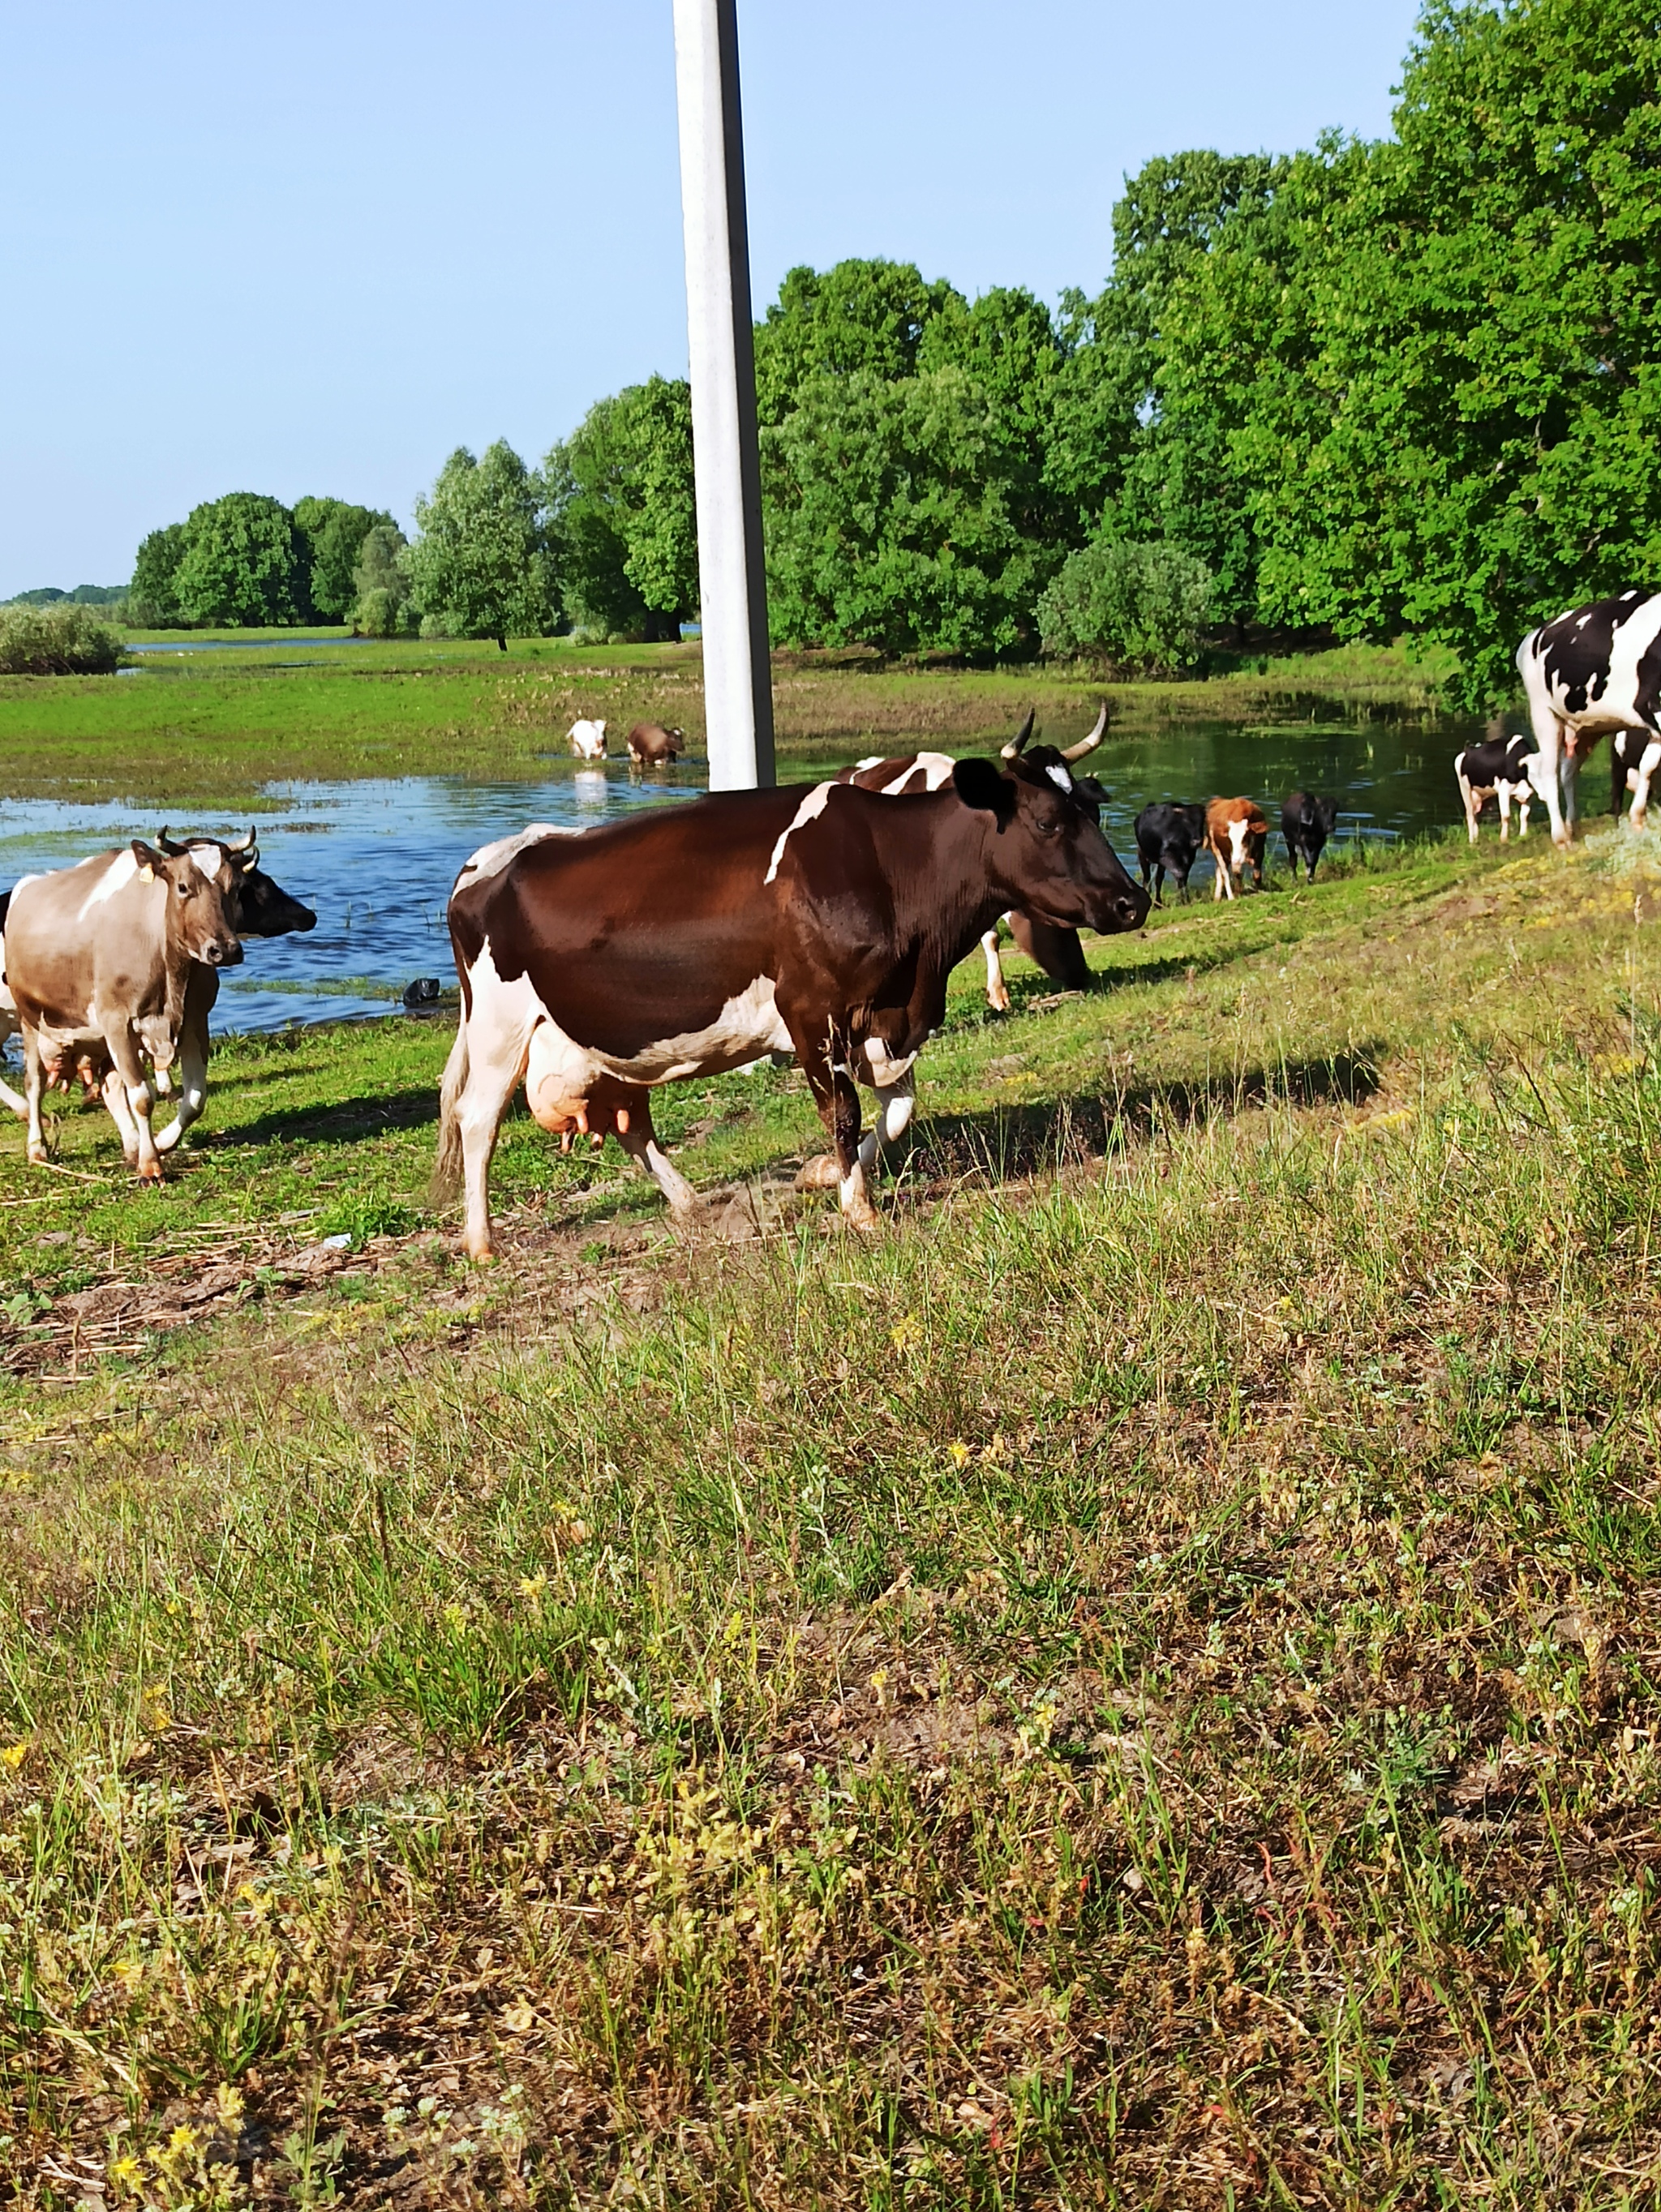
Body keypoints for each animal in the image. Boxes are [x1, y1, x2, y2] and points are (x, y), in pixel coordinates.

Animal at [436, 752, 1150, 1256]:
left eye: (1092, 811)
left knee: (630, 1123)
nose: (1133, 901)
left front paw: (820, 1176)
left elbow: (898, 1112)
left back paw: (689, 1202)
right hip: (499, 1027)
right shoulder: (811, 1011)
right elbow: (843, 1112)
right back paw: (482, 1242)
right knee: (478, 1121)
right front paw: (859, 1209)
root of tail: (486, 860)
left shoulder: (885, 1017)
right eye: (1048, 821)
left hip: (598, 1044)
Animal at [1450, 730, 1547, 840]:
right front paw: (1504, 839)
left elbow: (1524, 815)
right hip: (1465, 789)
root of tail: (1468, 749)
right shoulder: (1503, 790)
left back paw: (1476, 838)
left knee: (1476, 815)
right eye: (1534, 773)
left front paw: (1523, 835)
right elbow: (1506, 816)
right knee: (1470, 815)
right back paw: (1472, 841)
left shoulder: (1528, 794)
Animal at [1522, 588, 1661, 845]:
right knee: (1549, 772)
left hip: (1588, 728)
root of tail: (1535, 634)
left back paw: (1571, 827)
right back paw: (1560, 838)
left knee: (1568, 772)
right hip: (1544, 714)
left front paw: (1638, 819)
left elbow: (1648, 765)